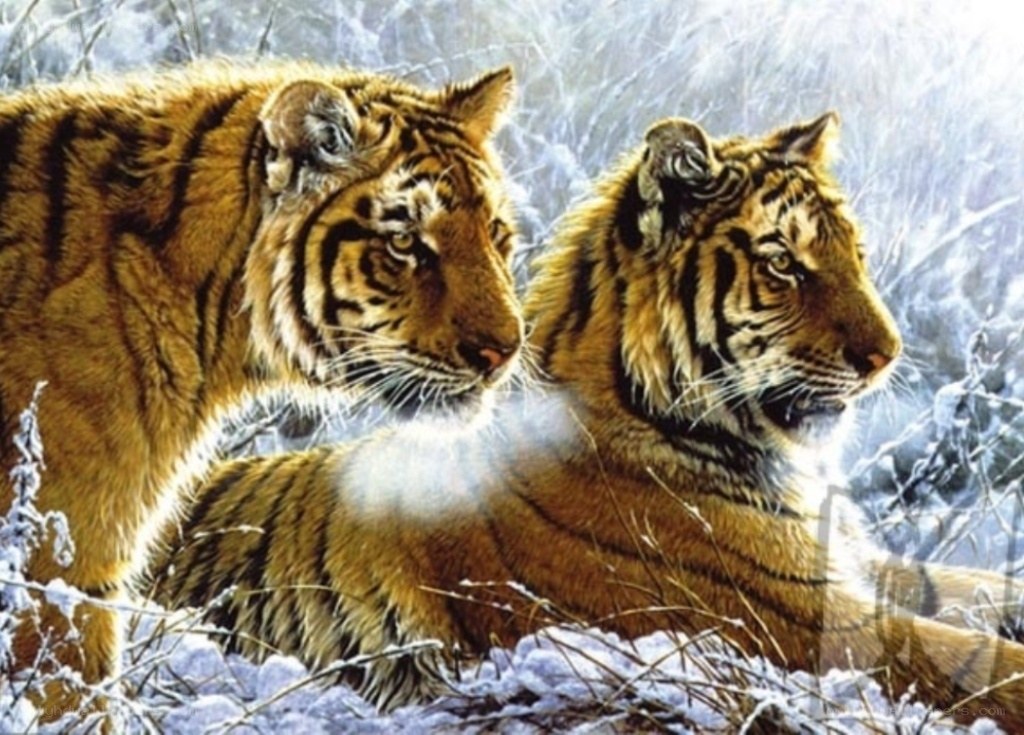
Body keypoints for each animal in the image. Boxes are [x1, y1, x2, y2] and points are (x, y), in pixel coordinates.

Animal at [149, 112, 1024, 728]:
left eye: (856, 256)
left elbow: (972, 589)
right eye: (783, 262)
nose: (887, 353)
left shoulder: (851, 567)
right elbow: (974, 660)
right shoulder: (796, 616)